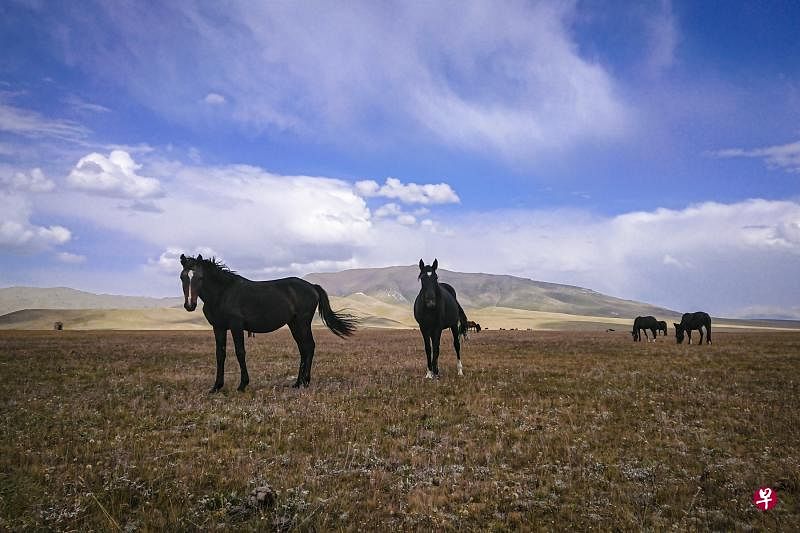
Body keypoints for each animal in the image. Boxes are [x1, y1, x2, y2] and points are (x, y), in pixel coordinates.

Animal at [179, 254, 357, 390]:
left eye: (200, 277)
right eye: (182, 277)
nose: (189, 305)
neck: (223, 293)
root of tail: (312, 286)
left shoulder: (236, 326)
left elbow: (240, 352)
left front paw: (242, 385)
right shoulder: (219, 327)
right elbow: (220, 354)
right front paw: (216, 386)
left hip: (302, 322)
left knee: (309, 346)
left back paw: (305, 382)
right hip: (294, 324)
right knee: (303, 348)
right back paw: (298, 383)